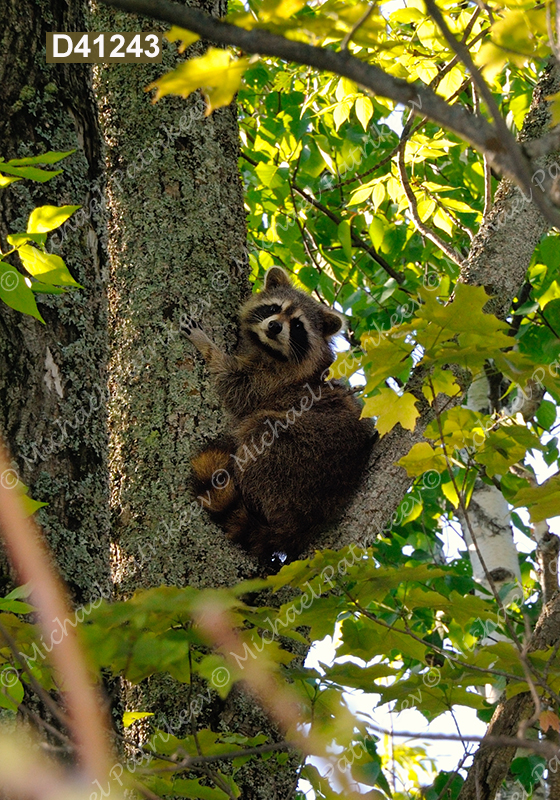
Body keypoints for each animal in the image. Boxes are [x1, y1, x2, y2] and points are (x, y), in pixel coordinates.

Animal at [185, 268, 376, 564]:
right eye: (274, 308)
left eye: (297, 325)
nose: (275, 327)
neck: (269, 349)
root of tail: (302, 523)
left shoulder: (275, 380)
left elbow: (236, 387)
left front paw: (207, 346)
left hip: (296, 455)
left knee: (261, 430)